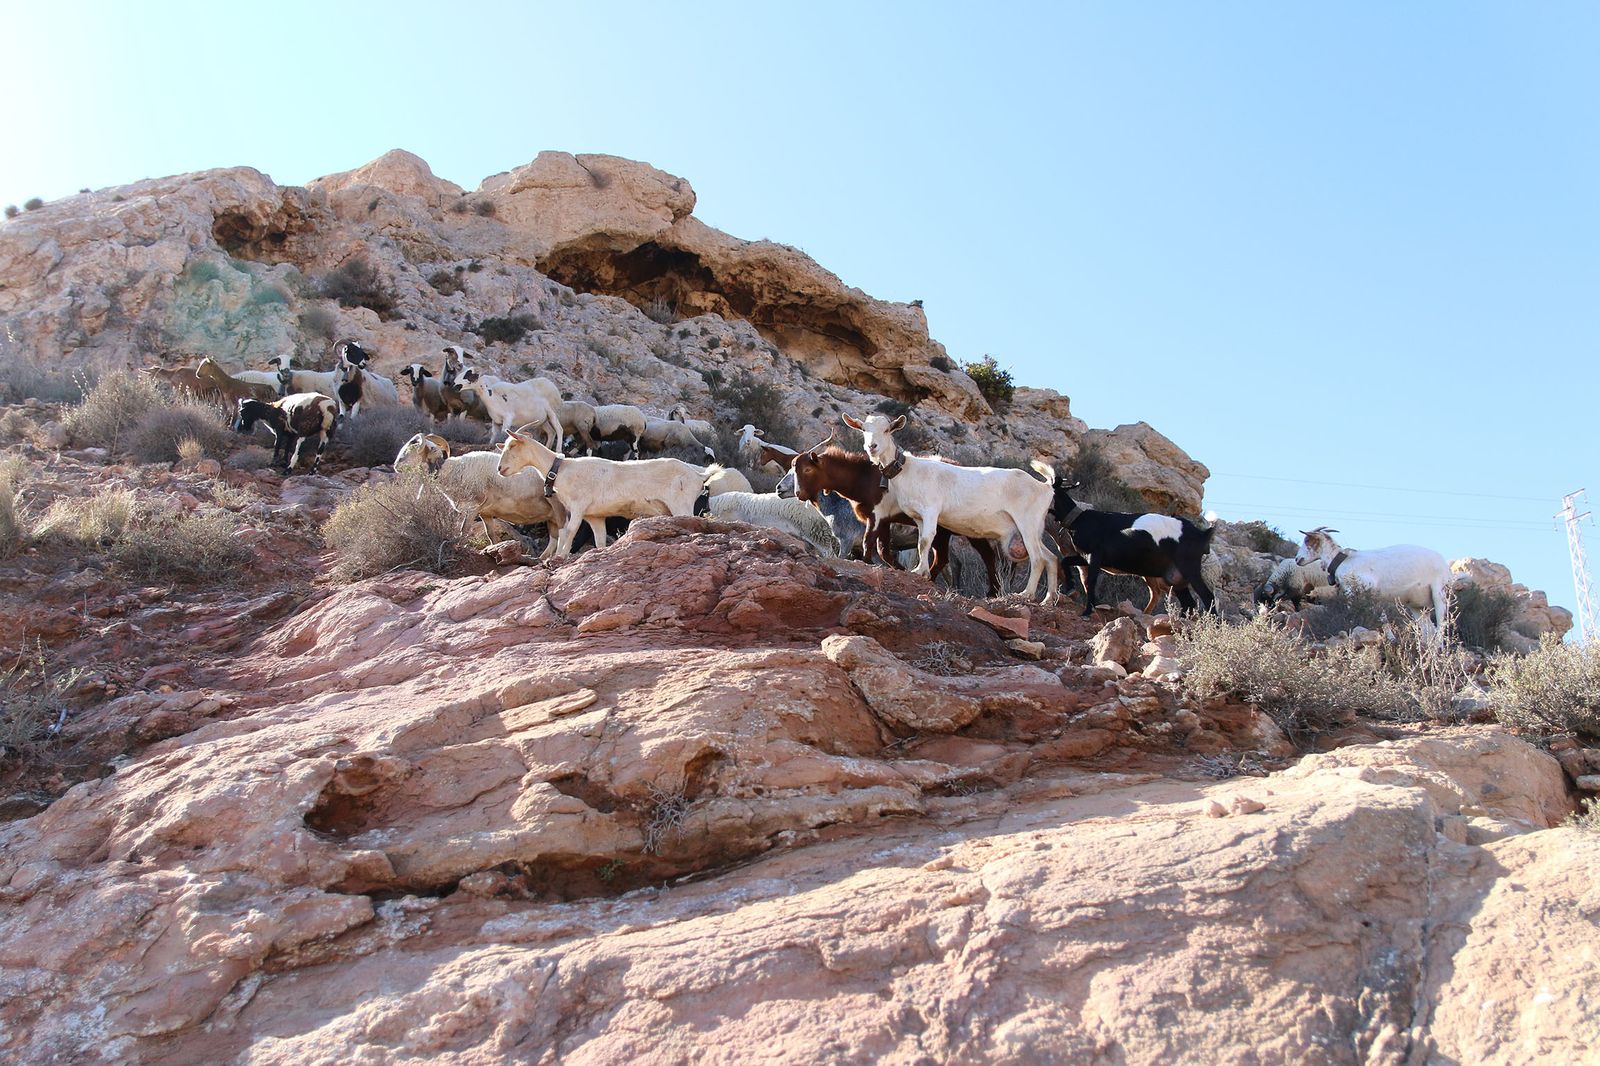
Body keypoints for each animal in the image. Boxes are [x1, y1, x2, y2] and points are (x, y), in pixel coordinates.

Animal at [498, 429, 719, 556]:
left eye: (513, 445)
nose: (500, 469)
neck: (562, 469)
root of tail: (699, 475)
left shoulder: (578, 506)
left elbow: (569, 531)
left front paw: (559, 558)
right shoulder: (594, 516)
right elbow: (599, 541)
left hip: (681, 503)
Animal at [844, 414, 1059, 604]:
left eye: (887, 430)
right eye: (863, 429)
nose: (872, 447)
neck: (907, 470)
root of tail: (1045, 487)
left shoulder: (931, 510)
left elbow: (925, 540)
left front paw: (918, 571)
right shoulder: (919, 517)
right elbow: (922, 544)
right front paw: (923, 570)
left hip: (1027, 523)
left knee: (1038, 558)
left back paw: (1026, 594)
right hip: (1035, 529)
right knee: (1051, 558)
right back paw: (1047, 600)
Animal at [1049, 479, 1215, 616]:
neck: (1080, 520)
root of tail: (1202, 534)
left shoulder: (1095, 556)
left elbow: (1090, 581)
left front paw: (1087, 611)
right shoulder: (1085, 557)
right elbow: (1065, 561)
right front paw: (1071, 588)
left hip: (1188, 567)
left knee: (1207, 597)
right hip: (1175, 576)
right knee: (1188, 603)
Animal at [1295, 527, 1453, 639]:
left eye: (1307, 541)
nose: (1297, 559)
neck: (1343, 561)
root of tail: (1444, 565)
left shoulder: (1363, 588)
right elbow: (1383, 618)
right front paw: (1391, 638)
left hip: (1439, 592)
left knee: (1441, 626)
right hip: (1417, 606)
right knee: (1429, 631)